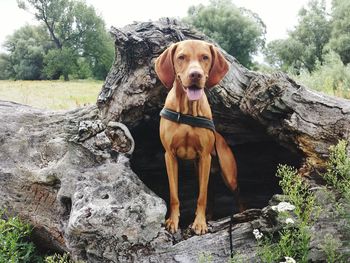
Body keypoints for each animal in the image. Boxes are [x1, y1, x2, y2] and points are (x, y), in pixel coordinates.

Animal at [156, 40, 238, 236]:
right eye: (181, 57)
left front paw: (199, 223)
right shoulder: (170, 156)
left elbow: (201, 196)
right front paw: (172, 221)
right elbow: (174, 195)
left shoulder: (205, 157)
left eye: (205, 57)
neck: (187, 109)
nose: (195, 74)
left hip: (228, 173)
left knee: (237, 195)